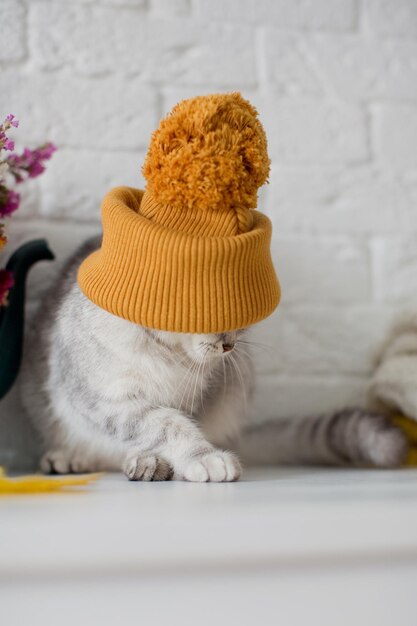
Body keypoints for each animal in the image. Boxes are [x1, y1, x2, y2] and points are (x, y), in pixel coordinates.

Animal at [19, 236, 406, 480]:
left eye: (242, 313)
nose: (229, 345)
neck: (167, 356)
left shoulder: (195, 396)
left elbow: (170, 424)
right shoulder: (104, 398)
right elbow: (164, 425)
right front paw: (203, 458)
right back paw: (72, 458)